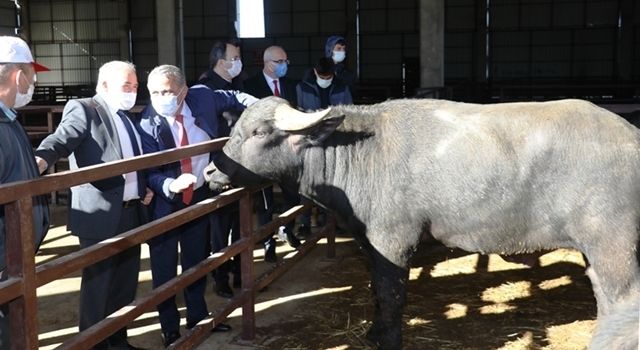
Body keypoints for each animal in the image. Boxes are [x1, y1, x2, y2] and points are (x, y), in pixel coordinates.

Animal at [206, 95, 640, 348]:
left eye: (259, 131)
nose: (211, 171)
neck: (359, 153)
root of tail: (631, 135)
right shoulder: (369, 243)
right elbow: (376, 290)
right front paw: (374, 332)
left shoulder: (393, 241)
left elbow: (392, 294)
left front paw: (389, 340)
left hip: (614, 242)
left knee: (621, 297)